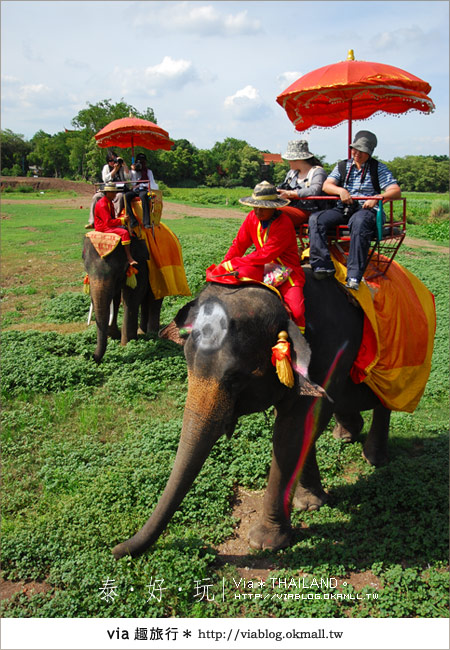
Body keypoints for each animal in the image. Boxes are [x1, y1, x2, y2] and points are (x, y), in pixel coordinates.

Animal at [82, 234, 163, 364]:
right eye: (86, 268)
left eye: (118, 270)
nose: (90, 355)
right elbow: (114, 298)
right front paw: (114, 336)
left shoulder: (140, 264)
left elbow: (132, 297)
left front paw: (126, 345)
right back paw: (142, 332)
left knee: (154, 298)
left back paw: (152, 333)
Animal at [111, 270, 398, 560]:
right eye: (187, 363)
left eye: (236, 378)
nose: (115, 549)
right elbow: (305, 427)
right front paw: (309, 503)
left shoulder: (330, 353)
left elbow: (291, 432)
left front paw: (264, 543)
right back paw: (346, 434)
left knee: (385, 402)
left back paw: (373, 458)